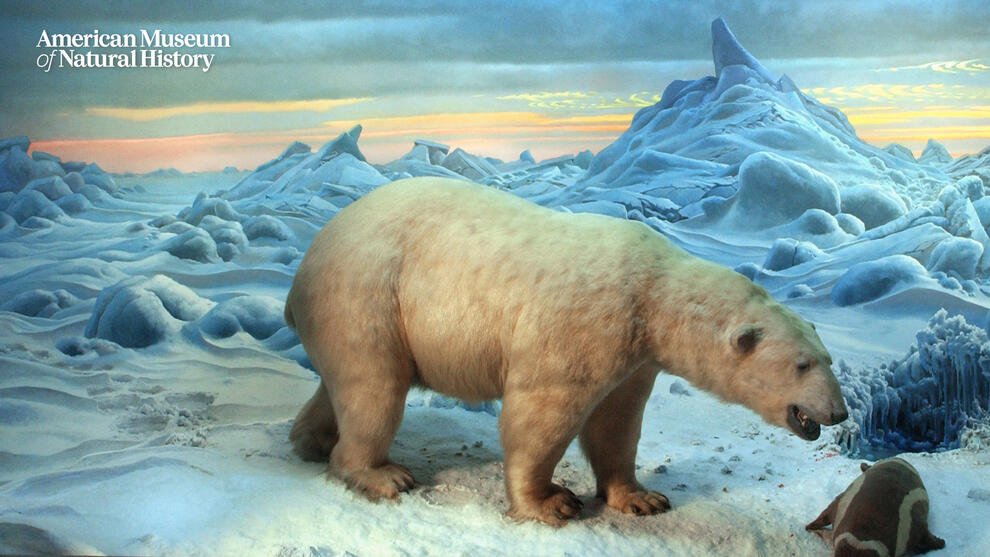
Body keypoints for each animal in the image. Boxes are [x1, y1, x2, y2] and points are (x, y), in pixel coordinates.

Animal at [286, 178, 852, 524]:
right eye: (802, 364)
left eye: (828, 358)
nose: (839, 412)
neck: (653, 292)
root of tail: (306, 265)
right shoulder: (585, 325)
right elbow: (541, 413)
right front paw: (551, 503)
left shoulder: (634, 356)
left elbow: (617, 422)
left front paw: (642, 497)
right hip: (369, 293)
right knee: (375, 388)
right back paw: (382, 474)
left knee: (342, 384)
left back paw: (312, 441)